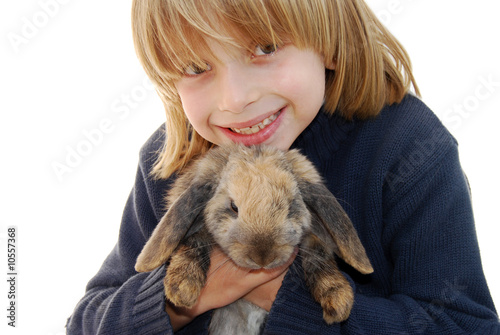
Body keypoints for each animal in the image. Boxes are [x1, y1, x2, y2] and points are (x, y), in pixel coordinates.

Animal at [135, 144, 374, 334]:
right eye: (233, 207)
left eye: (290, 207)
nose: (263, 258)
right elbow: (193, 241)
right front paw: (183, 289)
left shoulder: (314, 241)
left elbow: (319, 256)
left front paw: (339, 301)